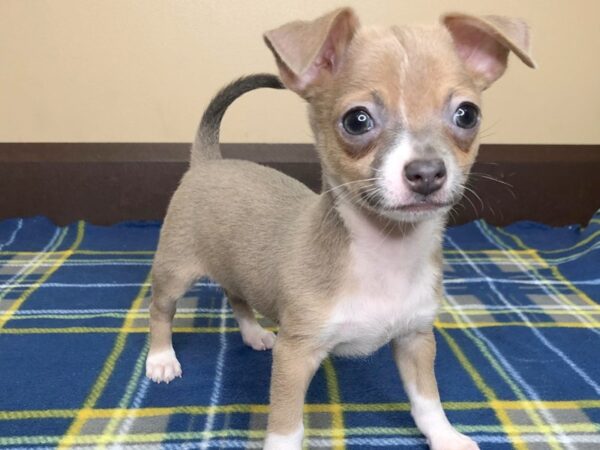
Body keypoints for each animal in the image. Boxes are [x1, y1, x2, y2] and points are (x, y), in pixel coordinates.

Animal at [145, 7, 536, 450]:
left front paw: (445, 436)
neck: (386, 253)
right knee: (160, 309)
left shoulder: (416, 339)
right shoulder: (296, 354)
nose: (427, 172)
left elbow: (427, 401)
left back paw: (253, 333)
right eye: (357, 120)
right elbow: (287, 425)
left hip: (234, 267)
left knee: (236, 295)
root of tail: (208, 160)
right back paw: (161, 359)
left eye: (467, 114)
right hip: (175, 270)